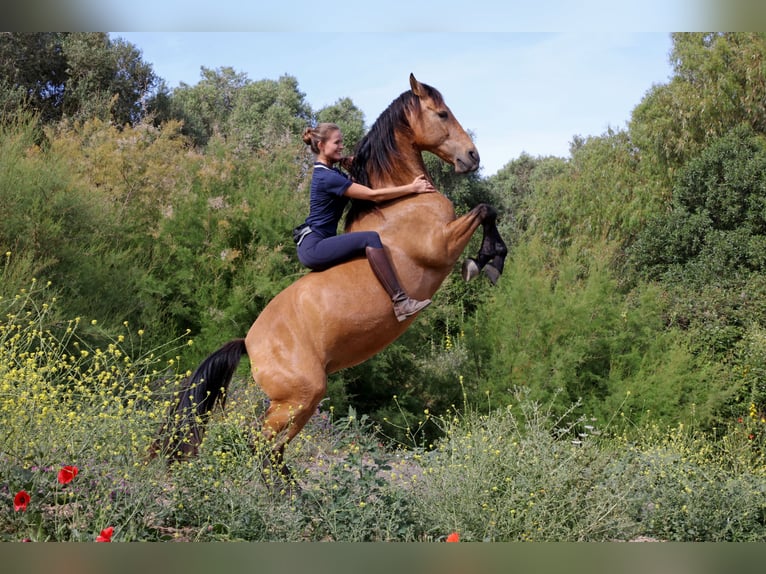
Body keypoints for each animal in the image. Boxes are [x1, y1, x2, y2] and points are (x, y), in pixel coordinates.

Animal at [152, 74, 508, 480]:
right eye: (442, 113)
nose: (472, 157)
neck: (397, 204)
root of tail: (249, 342)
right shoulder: (440, 246)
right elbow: (484, 209)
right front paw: (486, 261)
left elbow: (487, 210)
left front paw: (489, 260)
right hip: (299, 397)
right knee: (256, 444)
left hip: (300, 404)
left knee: (271, 452)